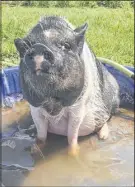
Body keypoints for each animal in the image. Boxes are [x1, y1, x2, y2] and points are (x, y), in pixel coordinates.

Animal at [14, 15, 119, 155]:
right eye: (27, 47)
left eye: (66, 45)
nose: (39, 47)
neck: (52, 101)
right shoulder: (35, 108)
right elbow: (41, 135)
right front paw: (33, 151)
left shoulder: (78, 108)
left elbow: (72, 135)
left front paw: (73, 154)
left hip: (114, 100)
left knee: (107, 118)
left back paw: (103, 137)